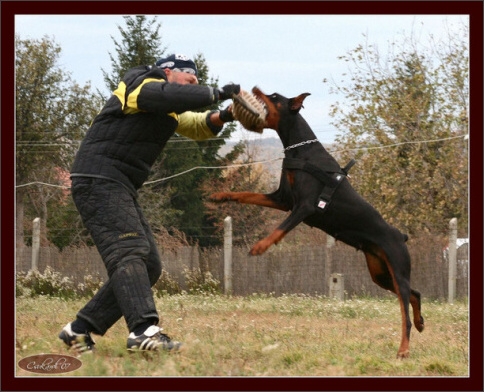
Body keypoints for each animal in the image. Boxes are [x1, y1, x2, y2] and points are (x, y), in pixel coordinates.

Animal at [210, 87, 426, 356]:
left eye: (275, 97)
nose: (256, 88)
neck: (300, 150)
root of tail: (401, 236)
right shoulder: (282, 199)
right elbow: (245, 194)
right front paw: (220, 196)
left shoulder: (305, 207)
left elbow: (280, 229)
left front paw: (260, 247)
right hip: (380, 273)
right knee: (415, 294)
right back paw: (420, 322)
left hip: (397, 267)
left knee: (405, 312)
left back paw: (404, 349)